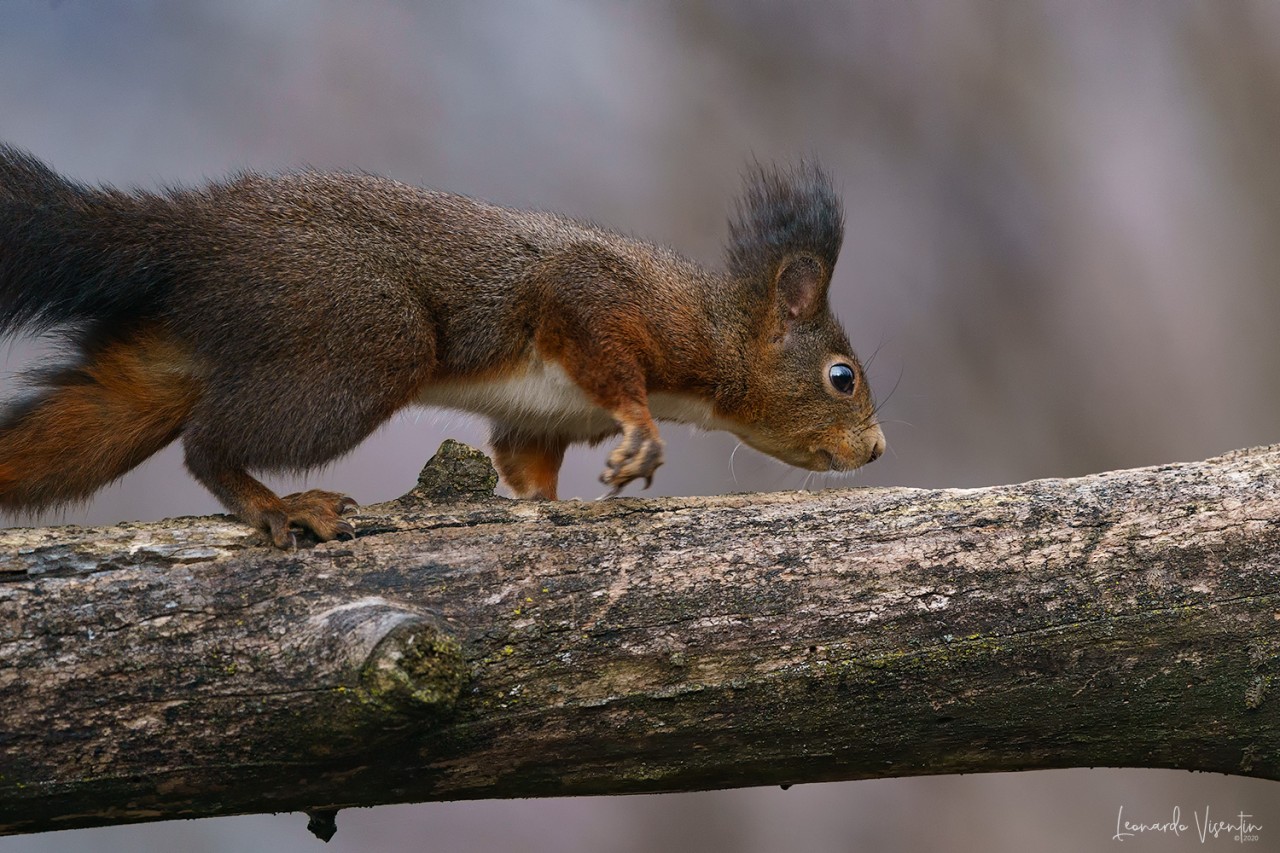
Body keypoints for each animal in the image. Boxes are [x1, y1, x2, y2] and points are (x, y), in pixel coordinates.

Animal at [0, 144, 885, 548]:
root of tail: (188, 238)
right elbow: (609, 360)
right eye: (842, 377)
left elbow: (528, 470)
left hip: (153, 372)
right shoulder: (602, 301)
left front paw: (542, 501)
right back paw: (277, 505)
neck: (715, 325)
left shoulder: (543, 419)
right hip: (366, 341)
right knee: (207, 443)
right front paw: (641, 438)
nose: (876, 448)